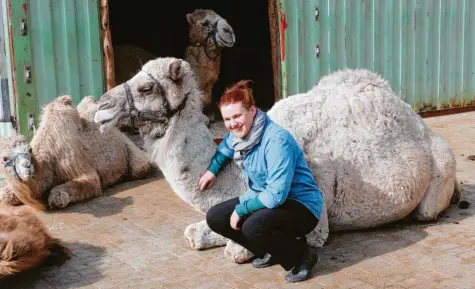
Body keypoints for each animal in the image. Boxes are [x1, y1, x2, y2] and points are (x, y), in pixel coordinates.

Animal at [0, 95, 152, 210]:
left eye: (29, 150)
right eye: (4, 158)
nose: (27, 168)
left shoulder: (80, 168)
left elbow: (59, 195)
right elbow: (5, 195)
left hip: (131, 149)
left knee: (140, 166)